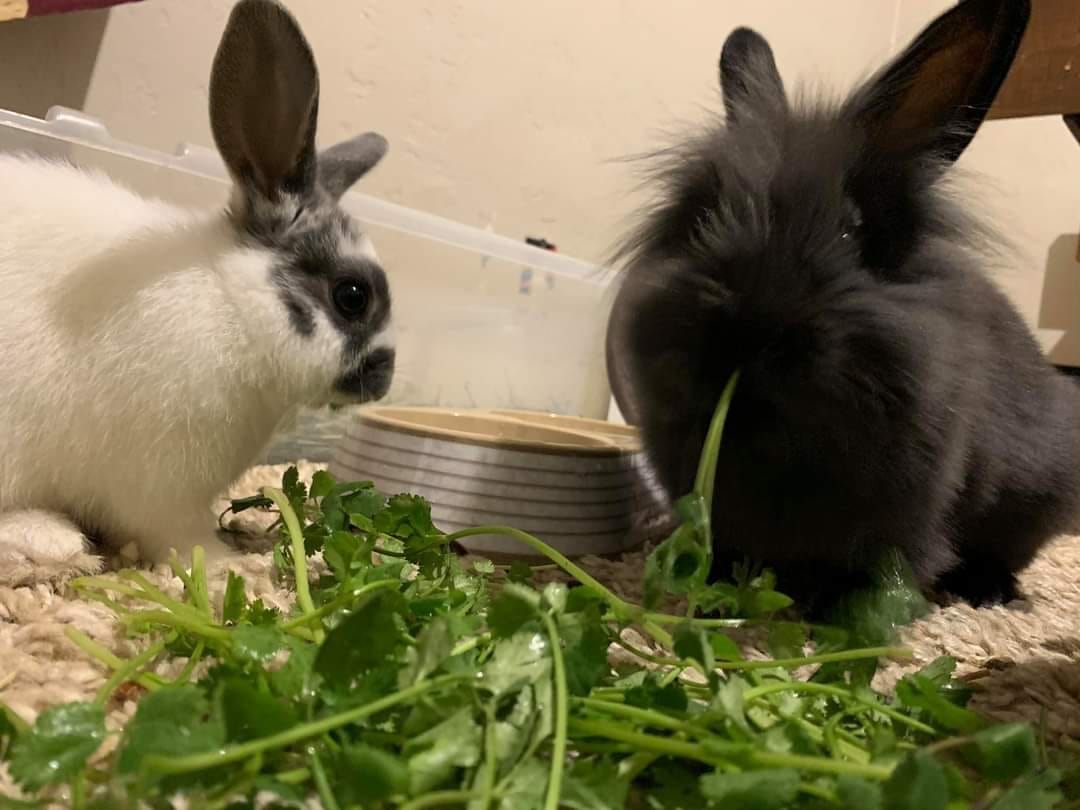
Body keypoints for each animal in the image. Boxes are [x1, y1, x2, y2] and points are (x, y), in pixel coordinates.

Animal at [0, 0, 395, 584]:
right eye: (352, 296)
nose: (384, 380)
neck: (235, 306)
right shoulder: (163, 487)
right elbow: (181, 536)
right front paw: (230, 564)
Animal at [605, 0, 1080, 612]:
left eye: (853, 230)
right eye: (704, 219)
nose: (745, 335)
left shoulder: (903, 524)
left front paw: (832, 614)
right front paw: (713, 597)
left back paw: (986, 591)